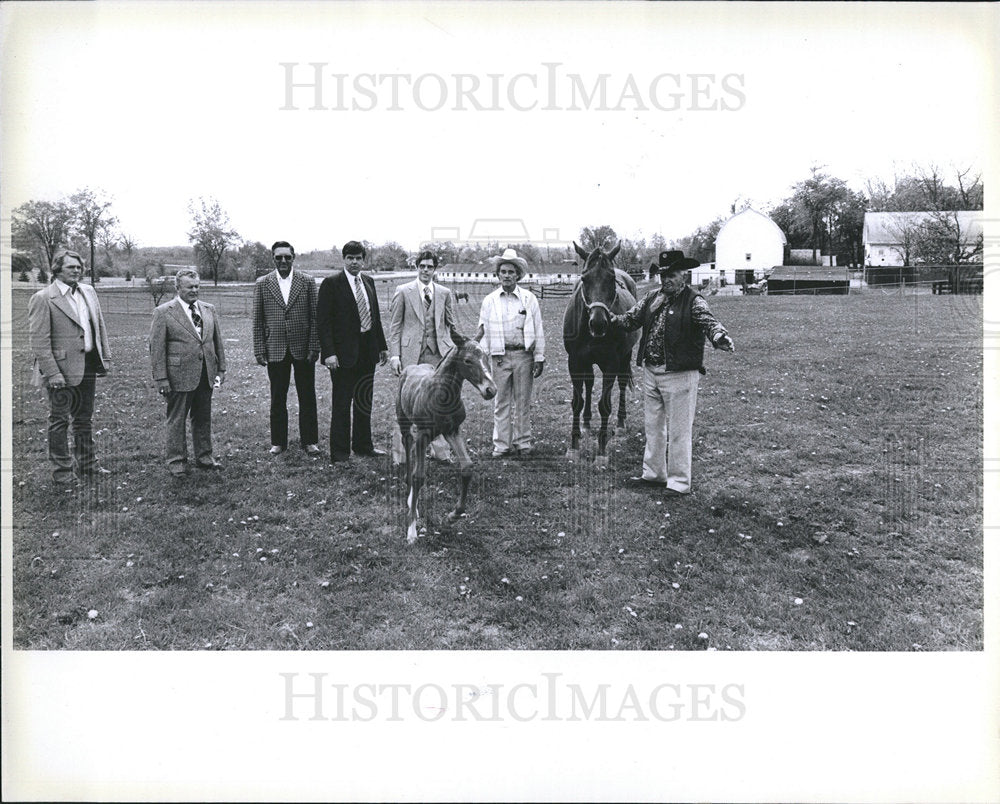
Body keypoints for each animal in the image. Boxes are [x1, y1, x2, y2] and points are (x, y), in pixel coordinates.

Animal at [394, 332, 496, 548]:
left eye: (487, 357)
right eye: (467, 361)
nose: (491, 390)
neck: (442, 394)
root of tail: (411, 367)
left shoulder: (453, 431)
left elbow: (467, 467)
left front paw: (453, 515)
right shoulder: (423, 434)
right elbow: (418, 477)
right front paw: (411, 531)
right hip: (404, 423)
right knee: (408, 452)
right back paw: (411, 502)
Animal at [564, 240, 640, 464]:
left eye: (611, 279)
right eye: (584, 278)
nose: (598, 323)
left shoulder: (611, 364)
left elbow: (605, 405)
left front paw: (601, 452)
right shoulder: (575, 362)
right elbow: (577, 402)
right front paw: (574, 446)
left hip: (625, 357)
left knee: (622, 385)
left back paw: (621, 424)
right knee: (589, 385)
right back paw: (586, 423)